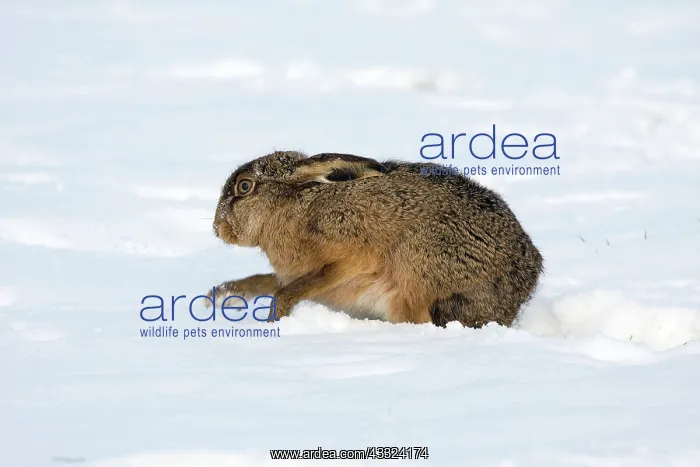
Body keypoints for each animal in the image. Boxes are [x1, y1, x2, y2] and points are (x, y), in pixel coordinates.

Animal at [207, 150, 544, 328]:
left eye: (245, 187)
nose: (217, 228)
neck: (293, 206)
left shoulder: (352, 253)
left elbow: (292, 289)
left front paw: (274, 319)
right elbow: (266, 281)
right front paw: (221, 296)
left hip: (417, 265)